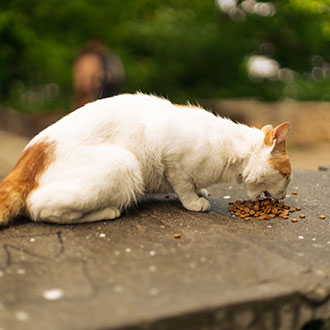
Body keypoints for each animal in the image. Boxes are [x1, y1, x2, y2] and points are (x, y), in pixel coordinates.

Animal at [0, 94, 292, 226]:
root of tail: (29, 156)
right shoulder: (172, 159)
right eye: (287, 176)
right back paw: (109, 211)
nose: (284, 196)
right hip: (125, 164)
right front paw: (194, 201)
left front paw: (201, 190)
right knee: (40, 208)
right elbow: (183, 185)